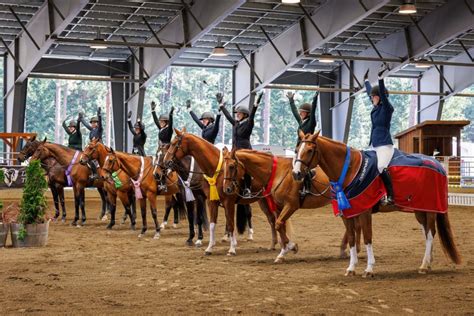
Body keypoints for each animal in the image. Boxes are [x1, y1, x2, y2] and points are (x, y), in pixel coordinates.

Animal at [163, 128, 280, 256]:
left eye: (174, 144)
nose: (165, 162)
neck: (216, 170)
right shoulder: (211, 201)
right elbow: (212, 224)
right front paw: (209, 248)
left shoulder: (228, 202)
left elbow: (230, 223)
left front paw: (232, 249)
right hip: (262, 200)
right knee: (271, 219)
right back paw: (273, 245)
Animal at [290, 130, 462, 276]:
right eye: (297, 149)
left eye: (310, 150)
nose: (296, 174)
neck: (350, 170)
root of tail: (438, 164)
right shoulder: (348, 213)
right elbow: (352, 239)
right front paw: (351, 268)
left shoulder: (364, 211)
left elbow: (367, 237)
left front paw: (369, 268)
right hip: (420, 209)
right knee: (426, 233)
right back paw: (427, 263)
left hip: (431, 209)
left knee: (430, 233)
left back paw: (425, 266)